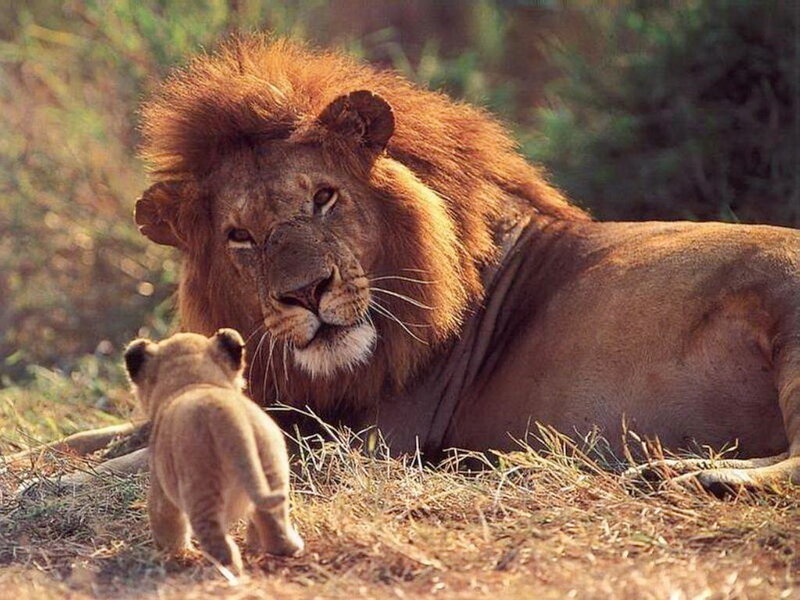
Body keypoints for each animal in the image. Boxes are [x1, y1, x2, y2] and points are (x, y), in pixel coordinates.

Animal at [19, 36, 800, 495]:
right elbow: (98, 435)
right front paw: (33, 465)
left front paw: (50, 489)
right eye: (240, 236)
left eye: (324, 197)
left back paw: (688, 475)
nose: (307, 292)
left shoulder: (364, 440)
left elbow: (158, 446)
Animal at [124, 328, 304, 572]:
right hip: (272, 467)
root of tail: (229, 417)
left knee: (214, 537)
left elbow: (164, 518)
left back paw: (224, 568)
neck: (195, 382)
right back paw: (284, 547)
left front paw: (171, 552)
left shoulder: (160, 484)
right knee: (271, 518)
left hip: (199, 484)